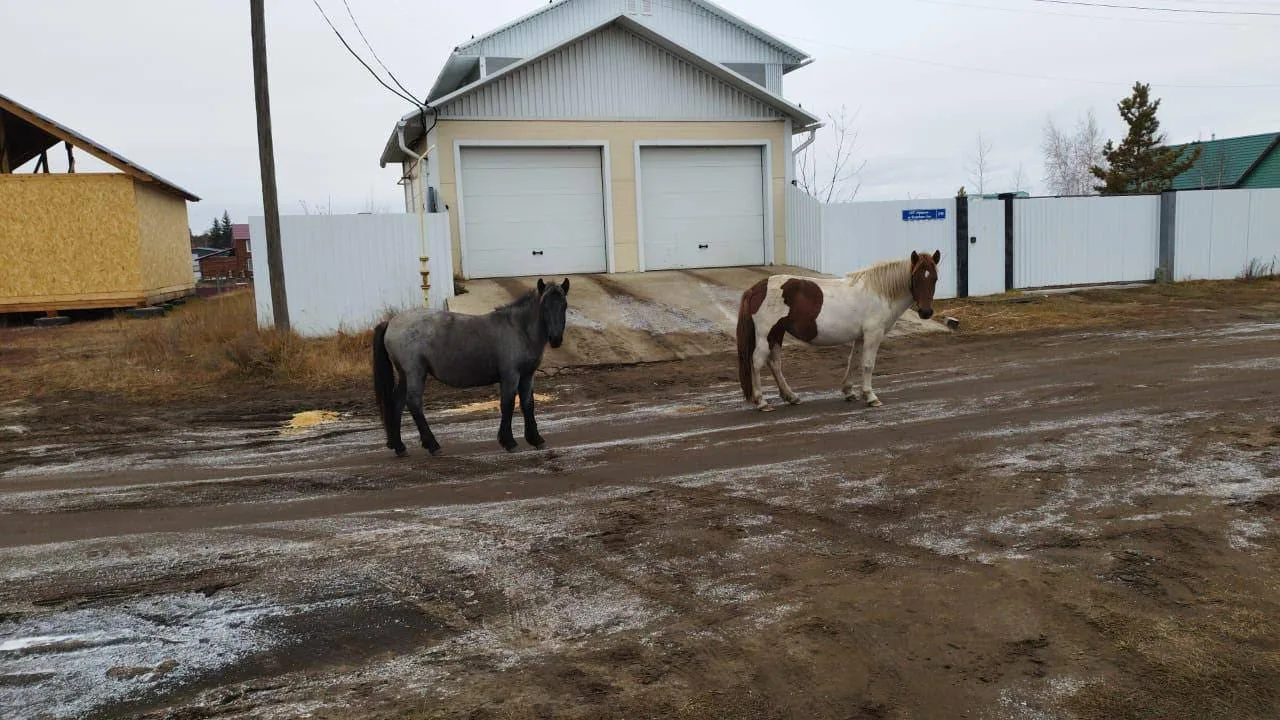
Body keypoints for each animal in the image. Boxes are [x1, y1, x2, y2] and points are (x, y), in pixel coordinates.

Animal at [371, 278, 570, 456]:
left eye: (564, 306)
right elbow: (508, 405)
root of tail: (391, 322)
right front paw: (509, 442)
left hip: (405, 375)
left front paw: (536, 439)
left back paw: (399, 446)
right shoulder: (510, 376)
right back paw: (433, 445)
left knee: (397, 402)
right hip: (415, 373)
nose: (556, 339)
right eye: (544, 307)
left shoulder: (528, 375)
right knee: (413, 403)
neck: (518, 329)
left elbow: (528, 404)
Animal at [736, 250, 942, 412]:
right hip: (766, 334)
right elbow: (868, 364)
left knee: (774, 362)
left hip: (777, 333)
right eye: (915, 277)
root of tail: (755, 289)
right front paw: (870, 396)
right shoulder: (873, 335)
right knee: (757, 361)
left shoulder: (860, 337)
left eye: (935, 278)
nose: (925, 312)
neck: (879, 293)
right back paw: (762, 401)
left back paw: (790, 396)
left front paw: (849, 391)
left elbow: (853, 362)